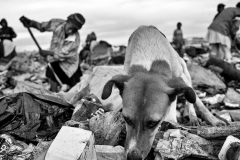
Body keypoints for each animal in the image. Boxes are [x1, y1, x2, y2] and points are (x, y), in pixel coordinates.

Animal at [101, 25, 227, 159]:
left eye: (153, 123)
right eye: (126, 119)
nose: (133, 157)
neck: (149, 65)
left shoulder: (179, 78)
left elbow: (189, 100)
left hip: (185, 72)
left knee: (192, 98)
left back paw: (196, 116)